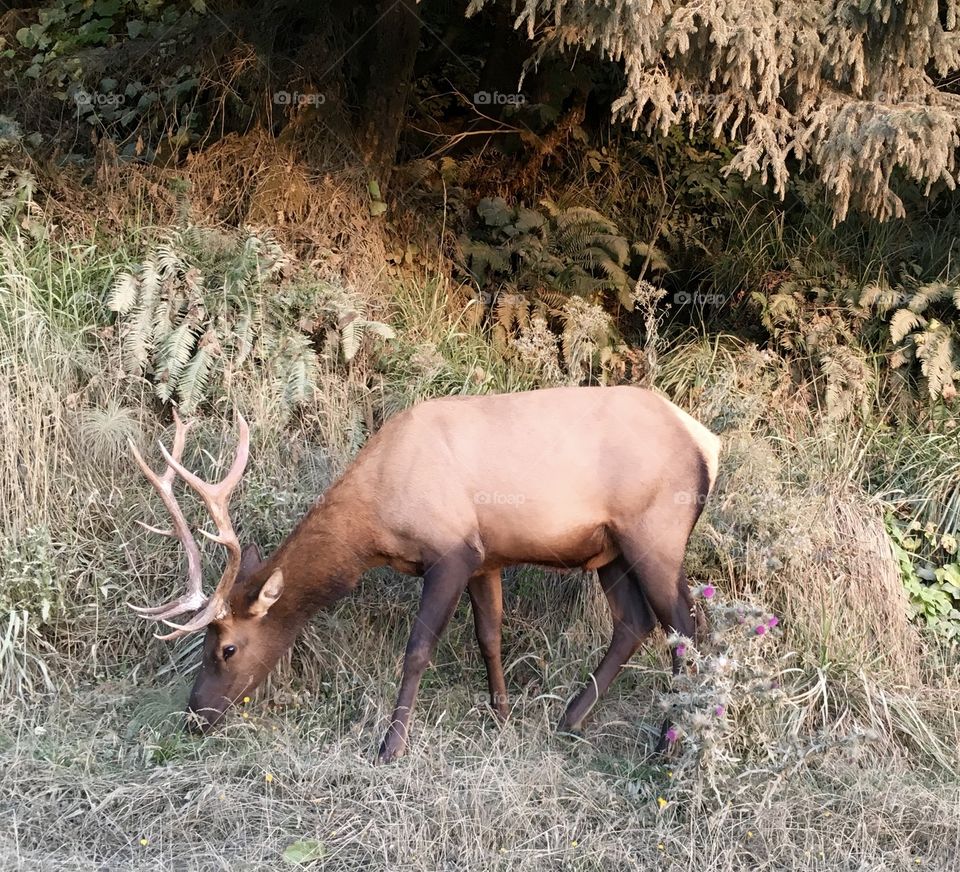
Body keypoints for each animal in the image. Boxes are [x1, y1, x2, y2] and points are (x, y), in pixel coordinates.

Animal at [128, 385, 720, 763]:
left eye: (226, 647)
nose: (194, 715)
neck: (376, 524)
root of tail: (707, 442)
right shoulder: (487, 557)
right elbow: (489, 637)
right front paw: (501, 717)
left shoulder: (452, 551)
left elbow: (417, 650)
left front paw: (391, 747)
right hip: (610, 550)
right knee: (636, 622)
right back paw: (572, 719)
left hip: (656, 531)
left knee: (688, 627)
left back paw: (668, 744)